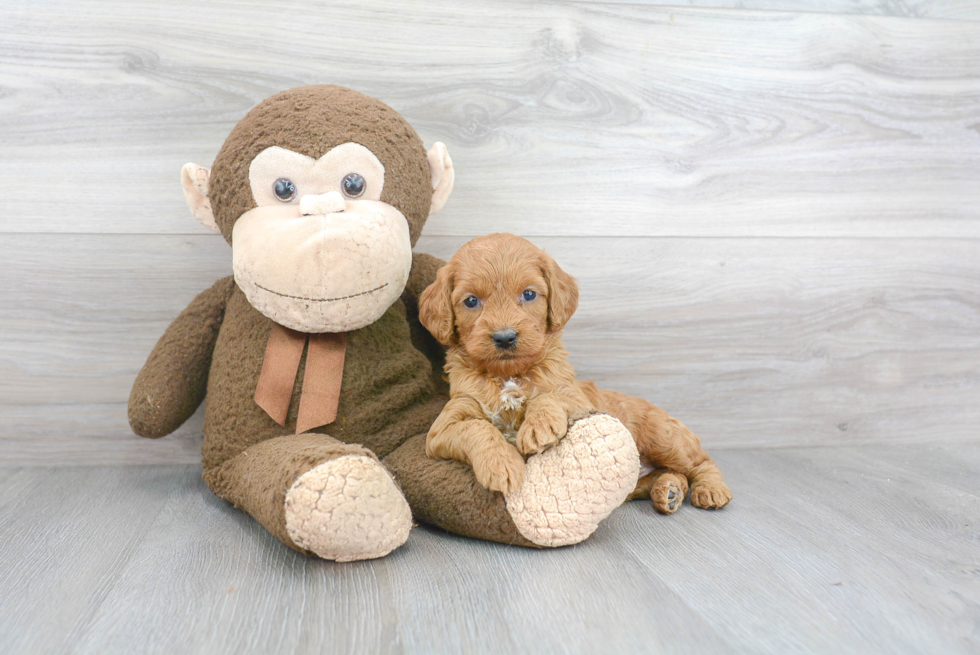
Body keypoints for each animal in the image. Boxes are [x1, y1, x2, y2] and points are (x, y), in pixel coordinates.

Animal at [418, 233, 732, 516]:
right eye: (471, 301)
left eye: (529, 294)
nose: (505, 337)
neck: (510, 376)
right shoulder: (442, 429)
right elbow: (475, 427)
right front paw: (501, 464)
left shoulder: (580, 400)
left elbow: (550, 395)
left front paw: (538, 425)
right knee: (663, 476)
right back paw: (668, 490)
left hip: (664, 438)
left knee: (701, 462)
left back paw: (711, 490)